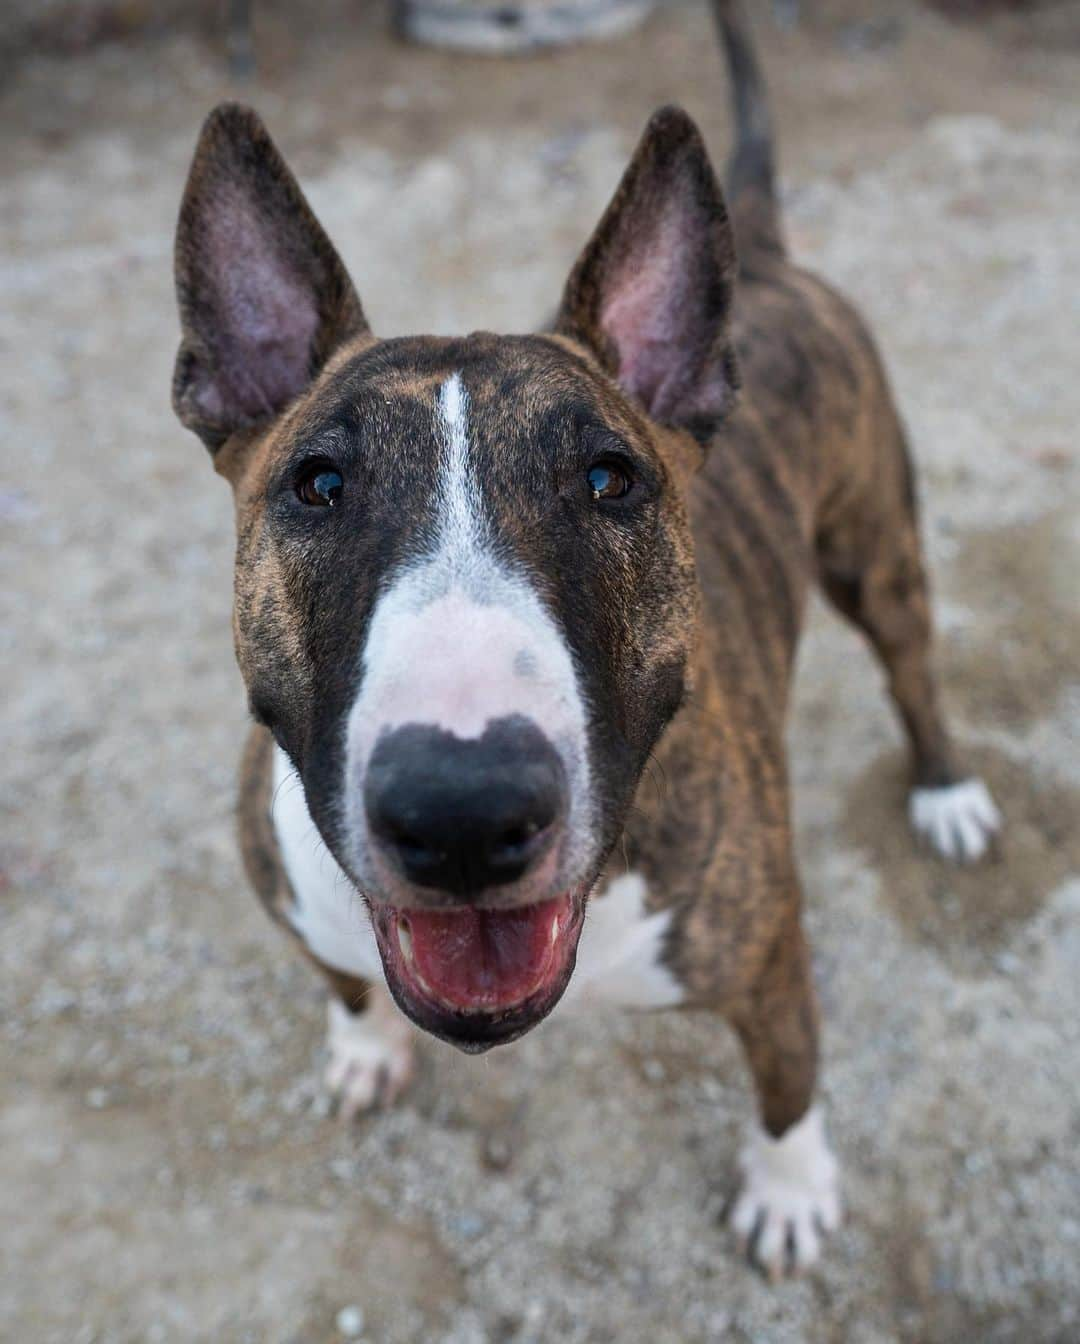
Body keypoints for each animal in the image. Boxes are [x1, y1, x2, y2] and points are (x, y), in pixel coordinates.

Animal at [168, 0, 1004, 1279]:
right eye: (316, 484)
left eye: (611, 479)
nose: (464, 812)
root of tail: (760, 257)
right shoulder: (296, 904)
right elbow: (343, 979)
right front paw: (361, 1047)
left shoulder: (769, 954)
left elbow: (789, 1077)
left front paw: (791, 1189)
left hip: (877, 548)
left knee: (913, 666)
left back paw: (947, 789)